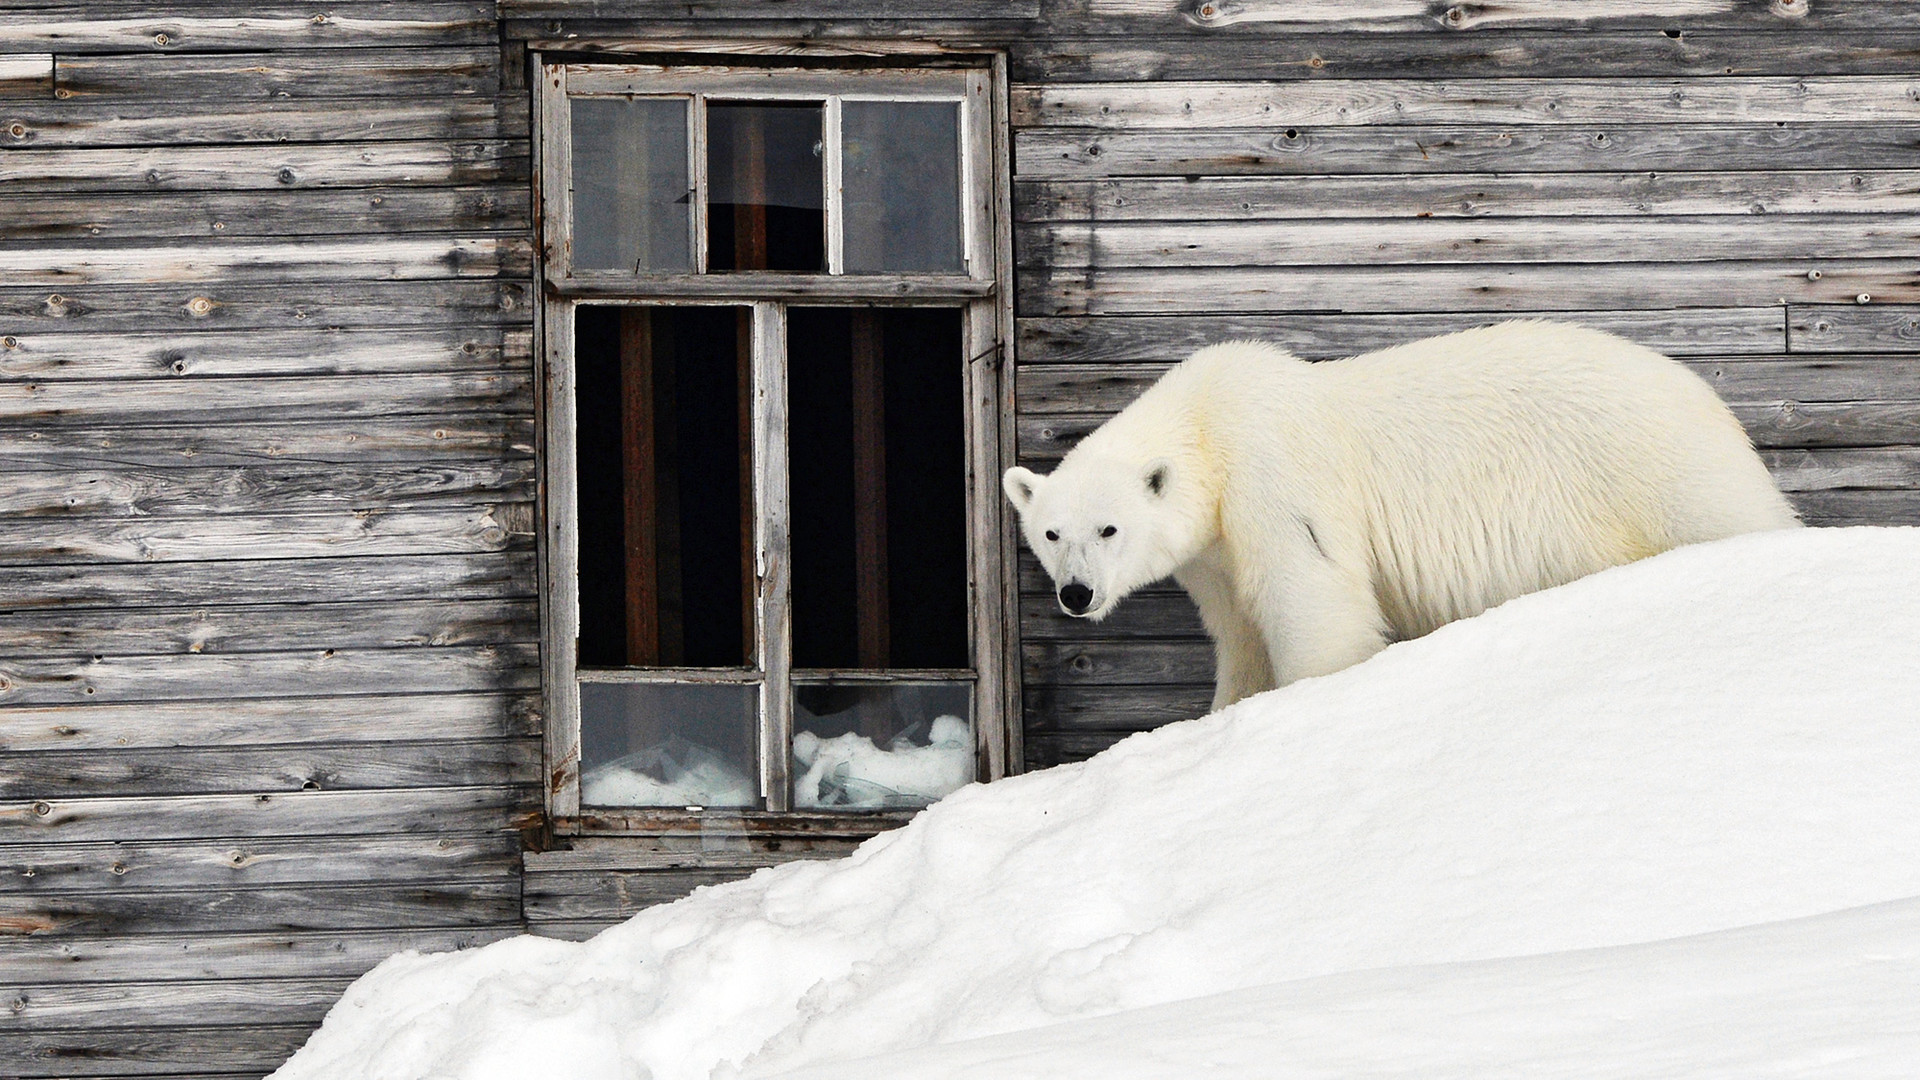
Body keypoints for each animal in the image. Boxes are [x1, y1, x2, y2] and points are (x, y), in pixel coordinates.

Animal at [1006, 317, 1797, 707]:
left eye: (1110, 527)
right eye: (1051, 532)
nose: (1075, 594)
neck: (1208, 425)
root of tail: (1709, 400)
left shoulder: (1274, 481)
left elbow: (1314, 602)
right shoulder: (1215, 555)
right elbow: (1241, 633)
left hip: (1652, 471)